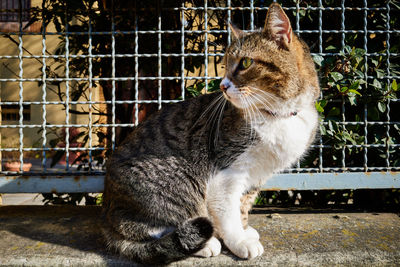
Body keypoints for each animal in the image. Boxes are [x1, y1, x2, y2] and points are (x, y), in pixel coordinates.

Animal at [102, 2, 318, 266]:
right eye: (225, 64)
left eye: (245, 63)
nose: (223, 86)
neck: (277, 115)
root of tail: (106, 213)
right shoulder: (227, 171)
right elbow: (227, 211)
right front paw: (239, 241)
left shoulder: (257, 175)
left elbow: (243, 205)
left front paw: (245, 230)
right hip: (177, 179)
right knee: (141, 228)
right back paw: (204, 244)